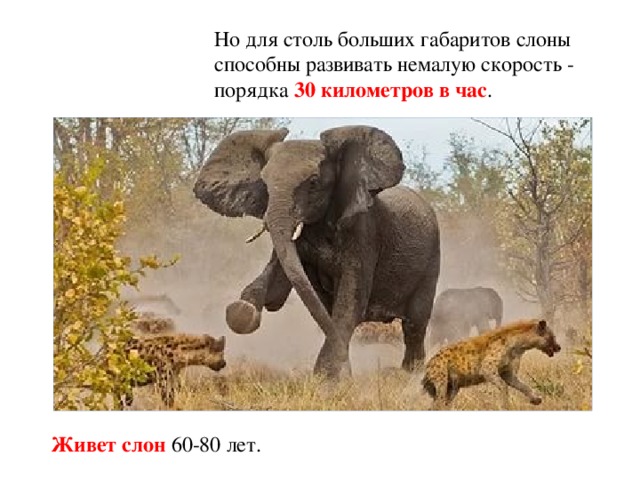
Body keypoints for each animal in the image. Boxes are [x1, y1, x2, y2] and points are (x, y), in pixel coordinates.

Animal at [193, 125, 440, 377]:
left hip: (431, 261)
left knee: (415, 324)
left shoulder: (364, 232)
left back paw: (412, 373)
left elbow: (351, 301)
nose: (349, 373)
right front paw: (243, 311)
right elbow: (277, 287)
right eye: (264, 184)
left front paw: (328, 379)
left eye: (313, 183)